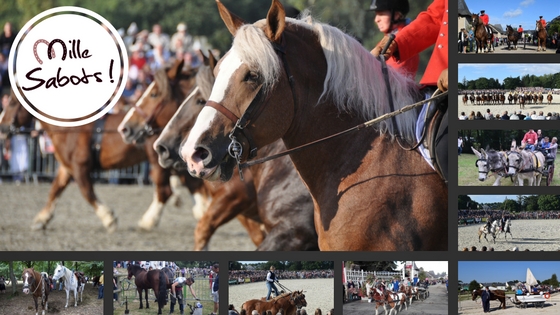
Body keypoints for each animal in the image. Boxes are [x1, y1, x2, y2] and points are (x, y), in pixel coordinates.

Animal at [0, 78, 197, 233]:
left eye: (12, 103)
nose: (2, 126)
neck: (69, 129)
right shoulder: (67, 168)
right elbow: (55, 190)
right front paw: (42, 219)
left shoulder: (80, 168)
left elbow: (87, 192)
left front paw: (108, 218)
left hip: (158, 161)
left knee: (165, 190)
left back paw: (150, 220)